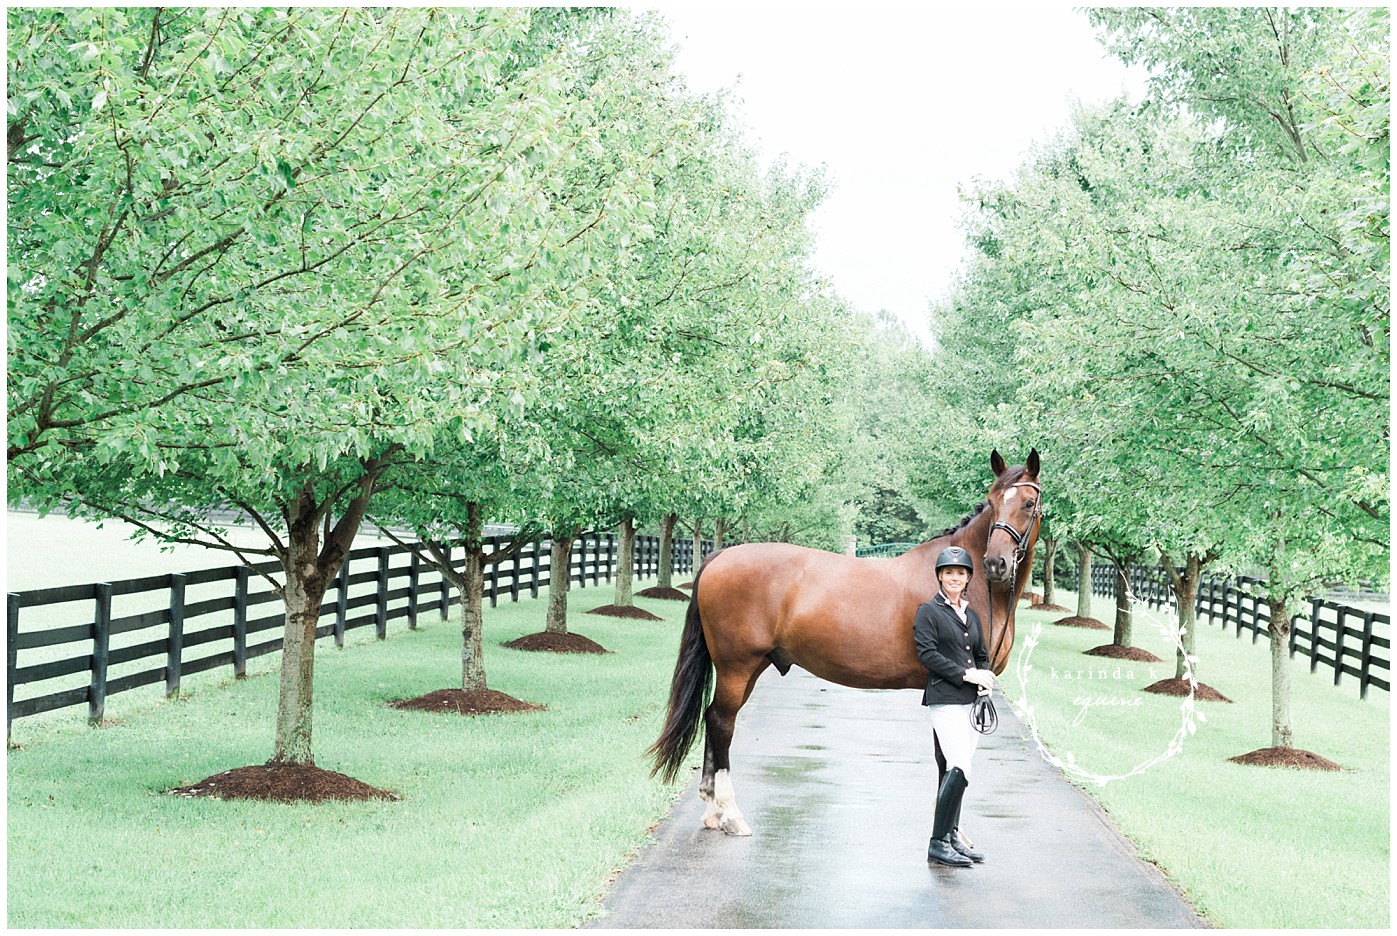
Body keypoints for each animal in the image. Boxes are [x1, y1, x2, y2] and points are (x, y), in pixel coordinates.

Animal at [647, 449, 1042, 836]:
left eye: (1027, 502)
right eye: (992, 501)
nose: (996, 564)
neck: (961, 584)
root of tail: (719, 557)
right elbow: (948, 756)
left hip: (751, 667)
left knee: (713, 717)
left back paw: (713, 810)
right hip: (737, 666)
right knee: (721, 723)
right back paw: (731, 815)